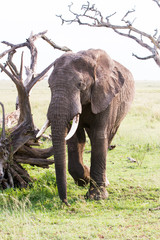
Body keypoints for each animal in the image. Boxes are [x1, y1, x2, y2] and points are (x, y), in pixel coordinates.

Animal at [43, 49, 134, 206]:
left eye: (80, 84)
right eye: (49, 86)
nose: (66, 202)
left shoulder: (105, 95)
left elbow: (99, 136)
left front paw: (96, 197)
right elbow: (75, 138)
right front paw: (84, 179)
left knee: (108, 137)